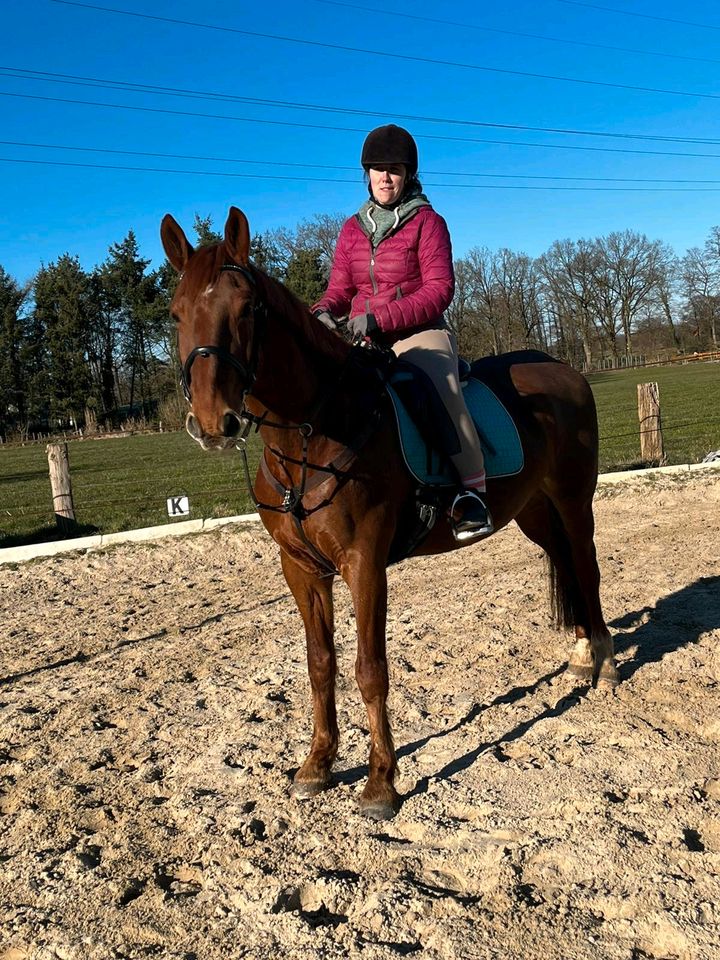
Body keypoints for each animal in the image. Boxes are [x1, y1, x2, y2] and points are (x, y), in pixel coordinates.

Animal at [160, 206, 616, 820]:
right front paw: (317, 766)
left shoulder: (364, 563)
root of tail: (561, 368)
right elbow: (320, 664)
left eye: (249, 308)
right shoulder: (301, 569)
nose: (215, 422)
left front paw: (380, 783)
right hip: (535, 513)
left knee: (587, 570)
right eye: (176, 313)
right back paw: (583, 656)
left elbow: (370, 670)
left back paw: (606, 664)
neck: (313, 432)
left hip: (572, 500)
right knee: (564, 562)